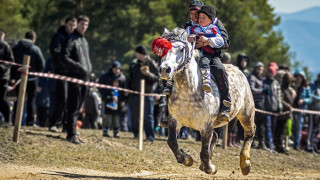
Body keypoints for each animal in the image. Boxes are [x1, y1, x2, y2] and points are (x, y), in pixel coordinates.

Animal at [153, 28, 258, 176]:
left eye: (181, 49)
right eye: (163, 51)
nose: (164, 69)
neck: (189, 91)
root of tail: (239, 70)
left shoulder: (206, 125)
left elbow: (204, 151)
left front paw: (210, 168)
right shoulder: (174, 121)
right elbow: (172, 142)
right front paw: (187, 159)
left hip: (246, 113)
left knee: (250, 131)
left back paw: (245, 164)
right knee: (216, 136)